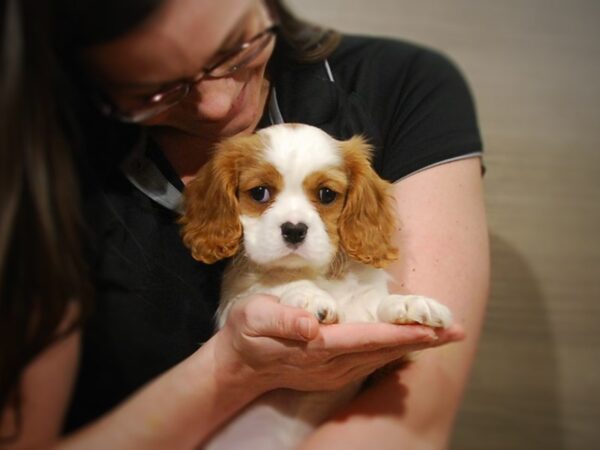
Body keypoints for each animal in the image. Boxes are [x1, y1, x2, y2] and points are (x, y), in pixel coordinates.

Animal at [178, 124, 450, 450]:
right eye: (259, 193)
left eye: (326, 194)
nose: (294, 230)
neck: (316, 271)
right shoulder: (236, 303)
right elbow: (278, 285)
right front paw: (308, 296)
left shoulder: (368, 312)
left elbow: (378, 303)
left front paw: (410, 303)